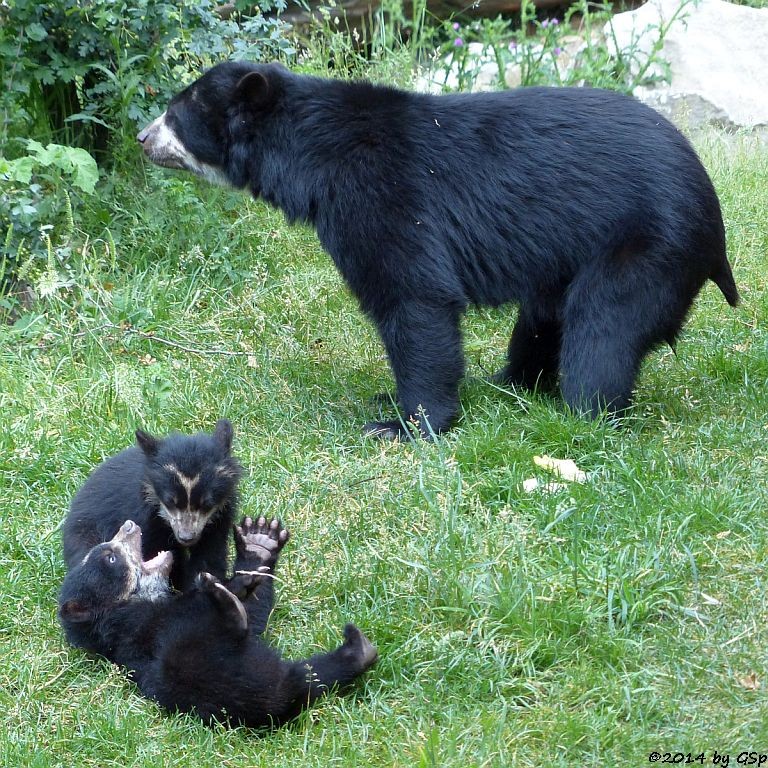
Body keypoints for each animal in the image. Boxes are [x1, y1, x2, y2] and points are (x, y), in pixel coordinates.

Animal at [58, 516, 376, 728]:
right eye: (110, 557)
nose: (128, 525)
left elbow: (257, 615)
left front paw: (260, 541)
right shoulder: (141, 622)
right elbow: (195, 607)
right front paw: (231, 585)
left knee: (313, 675)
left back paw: (360, 649)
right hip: (192, 671)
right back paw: (227, 606)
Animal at [65, 424, 242, 592]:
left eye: (207, 503)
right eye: (170, 501)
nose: (186, 538)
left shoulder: (220, 515)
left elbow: (210, 554)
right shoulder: (144, 515)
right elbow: (152, 552)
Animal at [138, 64, 736, 438]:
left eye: (175, 114)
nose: (143, 138)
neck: (311, 156)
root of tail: (715, 226)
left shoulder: (381, 197)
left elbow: (414, 298)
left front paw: (407, 426)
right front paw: (390, 402)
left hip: (648, 247)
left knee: (602, 330)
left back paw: (581, 415)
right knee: (544, 317)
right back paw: (510, 384)